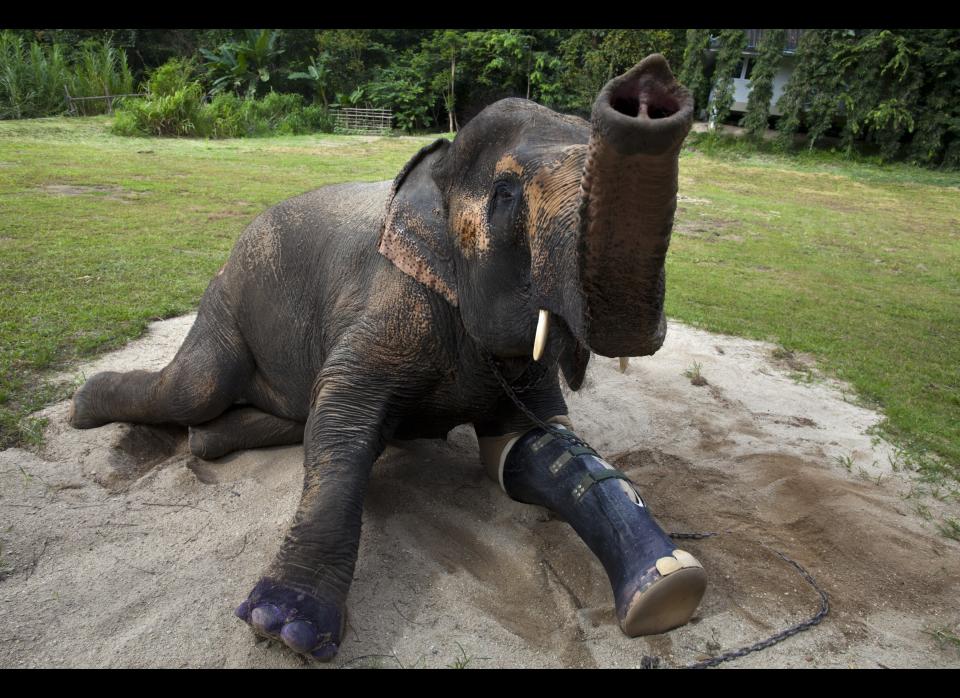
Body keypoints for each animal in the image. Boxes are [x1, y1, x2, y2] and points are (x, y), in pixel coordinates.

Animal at [69, 54, 704, 656]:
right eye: (505, 195)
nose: (648, 87)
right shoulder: (388, 296)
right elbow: (342, 421)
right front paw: (285, 627)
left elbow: (531, 446)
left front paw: (669, 590)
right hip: (228, 296)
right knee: (195, 389)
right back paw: (84, 405)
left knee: (273, 411)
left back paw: (204, 442)